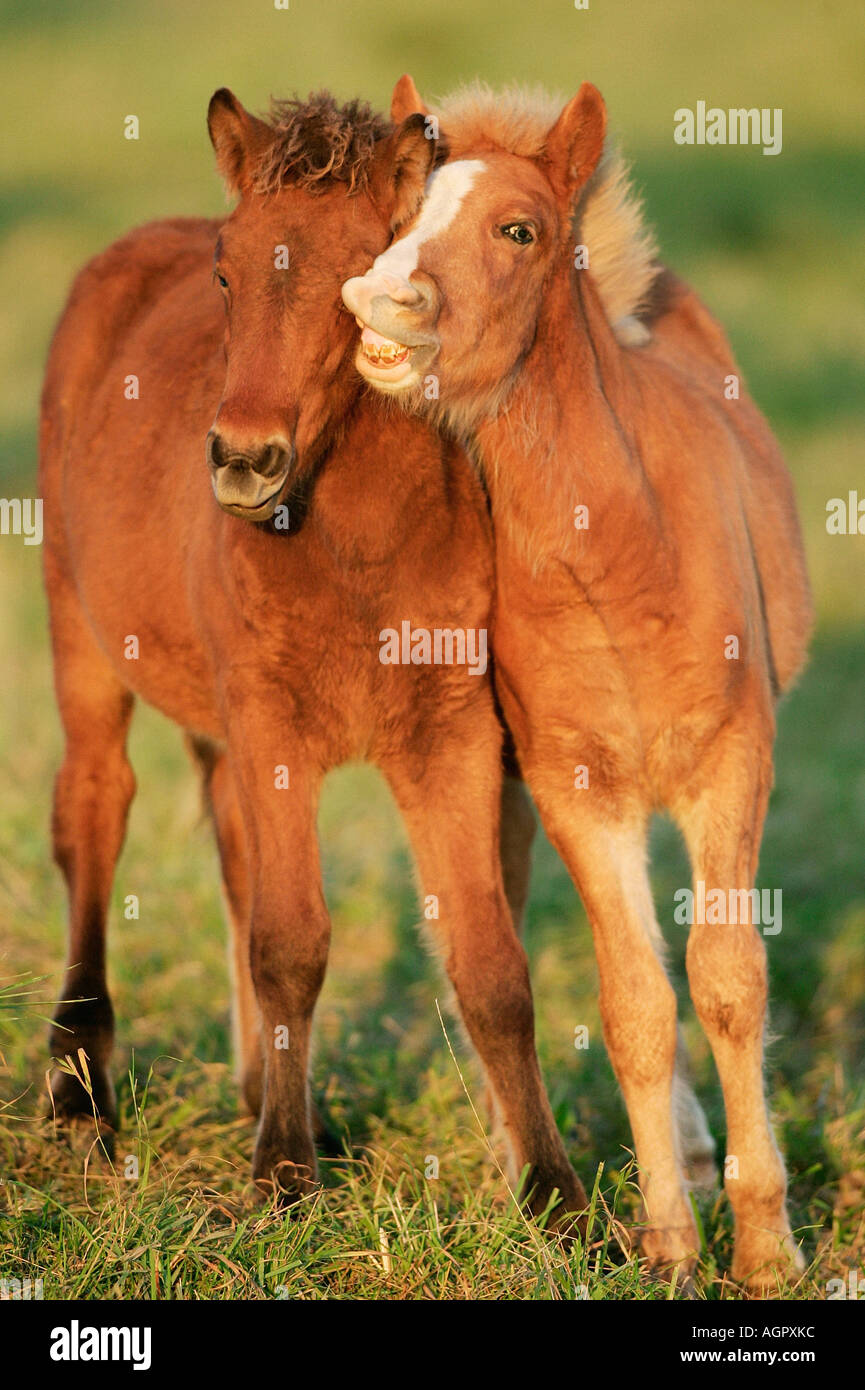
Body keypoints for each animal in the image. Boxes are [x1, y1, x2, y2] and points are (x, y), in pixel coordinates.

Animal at [38, 84, 584, 1218]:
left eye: (358, 274)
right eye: (225, 270)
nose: (244, 462)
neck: (358, 546)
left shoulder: (448, 739)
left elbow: (491, 965)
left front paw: (557, 1198)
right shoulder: (274, 723)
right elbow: (291, 942)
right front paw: (285, 1174)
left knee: (232, 850)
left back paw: (258, 1093)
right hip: (78, 631)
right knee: (94, 811)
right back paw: (82, 1098)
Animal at [342, 76, 813, 1289]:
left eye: (519, 230)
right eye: (395, 219)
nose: (379, 301)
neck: (625, 559)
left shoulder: (731, 767)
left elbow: (728, 980)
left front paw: (768, 1252)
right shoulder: (573, 787)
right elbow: (635, 1000)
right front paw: (668, 1246)